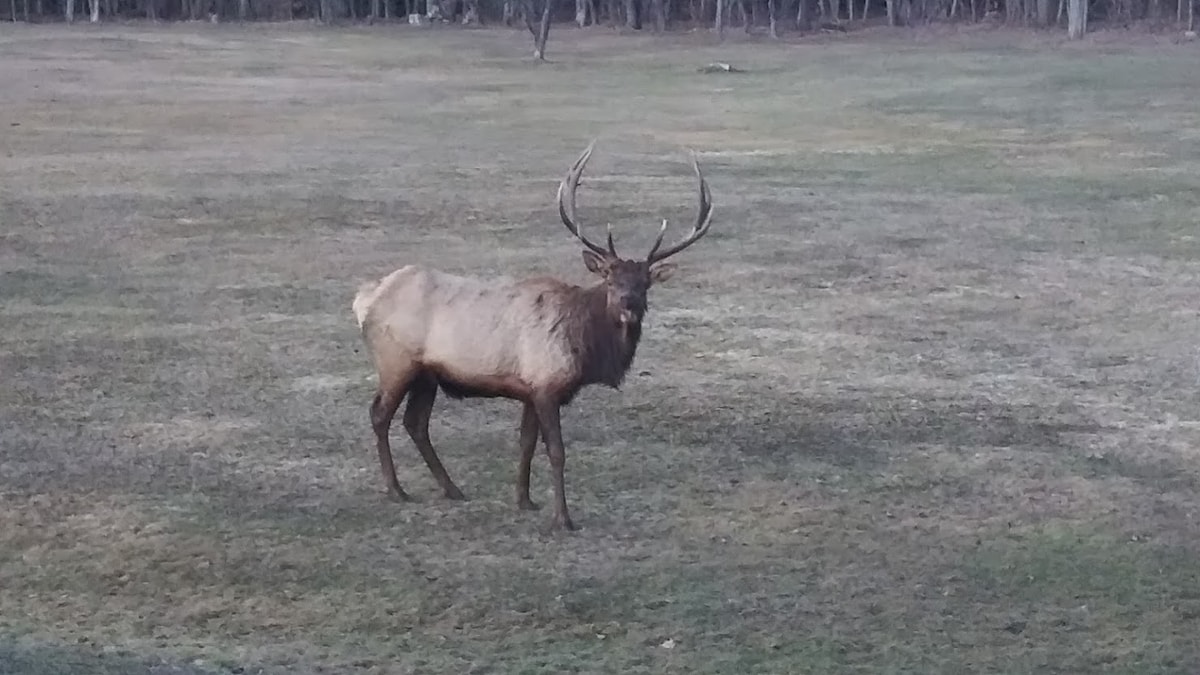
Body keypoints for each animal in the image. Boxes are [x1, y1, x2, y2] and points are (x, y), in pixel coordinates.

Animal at [352, 141, 710, 528]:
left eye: (644, 283)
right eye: (611, 279)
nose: (629, 304)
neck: (586, 346)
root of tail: (367, 297)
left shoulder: (529, 389)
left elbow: (525, 443)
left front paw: (525, 500)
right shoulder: (546, 385)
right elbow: (556, 451)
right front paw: (562, 518)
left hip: (427, 374)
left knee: (415, 423)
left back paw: (452, 489)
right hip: (395, 362)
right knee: (379, 415)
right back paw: (396, 489)